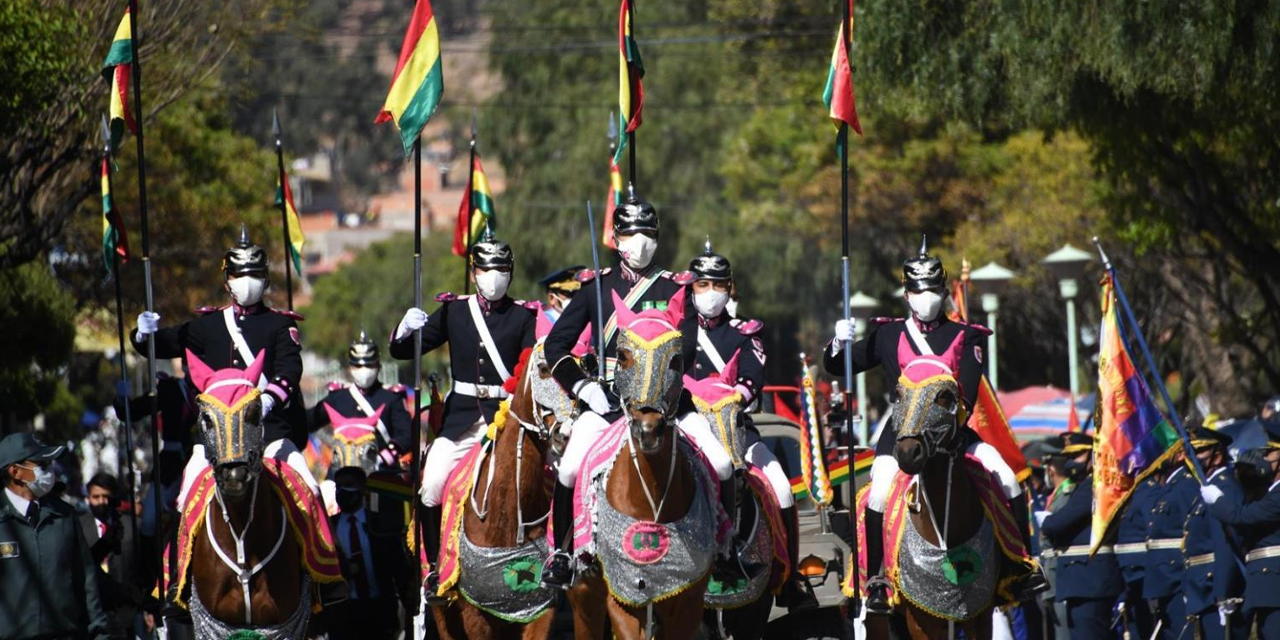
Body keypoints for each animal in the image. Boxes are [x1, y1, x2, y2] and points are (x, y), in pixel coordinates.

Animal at [565, 291, 727, 640]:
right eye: (623, 356)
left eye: (676, 360)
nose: (648, 429)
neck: (650, 494)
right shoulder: (623, 597)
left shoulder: (686, 600)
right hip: (584, 597)